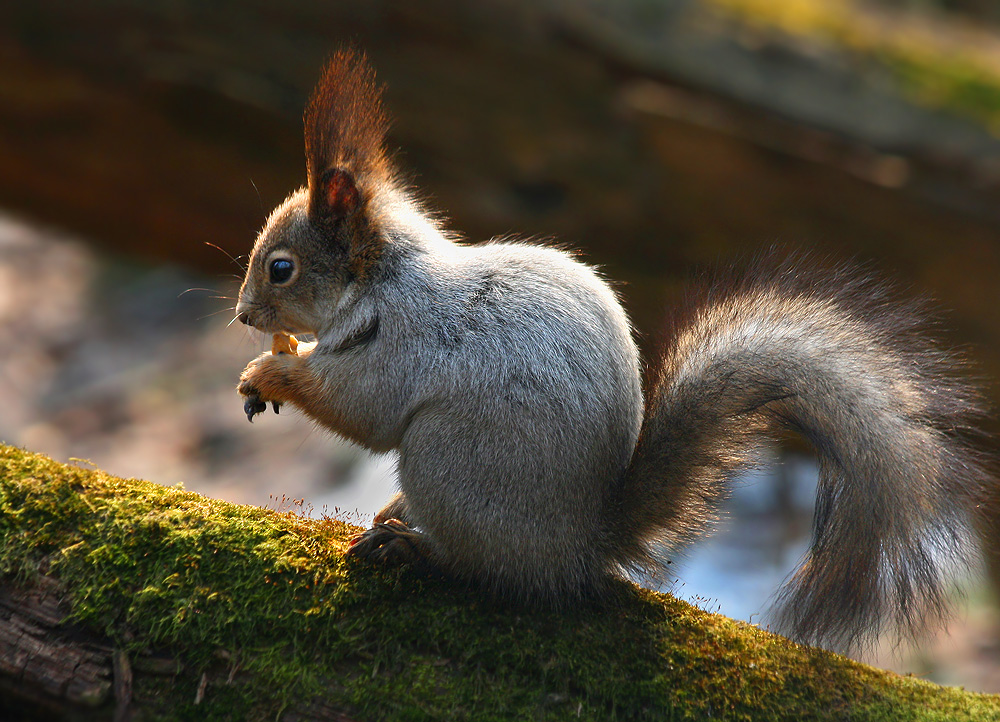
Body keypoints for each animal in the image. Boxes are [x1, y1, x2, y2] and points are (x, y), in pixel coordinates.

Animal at [234, 49, 992, 648]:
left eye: (281, 269)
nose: (242, 315)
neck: (382, 279)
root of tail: (580, 546)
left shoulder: (405, 343)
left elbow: (359, 408)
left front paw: (270, 371)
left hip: (449, 462)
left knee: (485, 568)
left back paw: (412, 546)